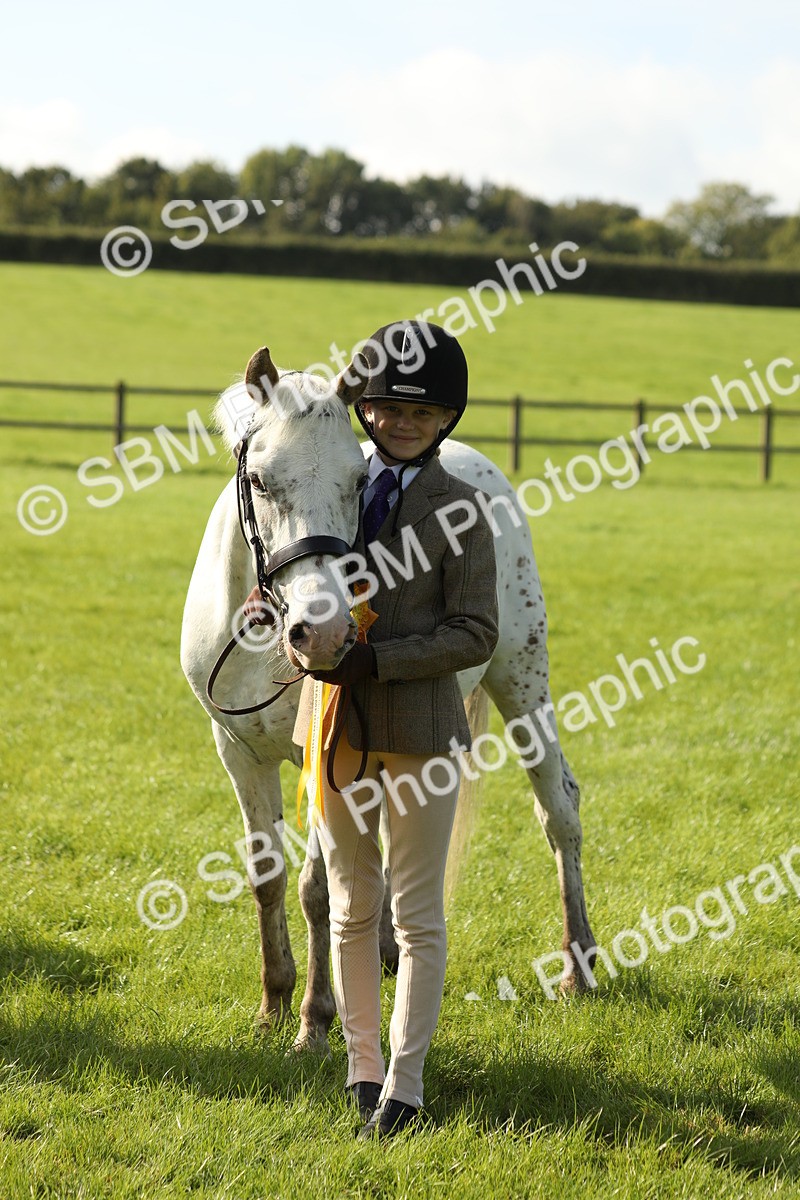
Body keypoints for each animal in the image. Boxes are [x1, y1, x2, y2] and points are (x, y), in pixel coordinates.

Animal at [180, 344, 596, 1051]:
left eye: (356, 480)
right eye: (259, 480)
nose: (322, 632)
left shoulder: (321, 761)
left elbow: (319, 889)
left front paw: (316, 1020)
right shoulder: (238, 752)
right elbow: (269, 878)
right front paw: (273, 1003)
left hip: (522, 680)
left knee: (558, 808)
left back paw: (579, 965)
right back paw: (385, 954)